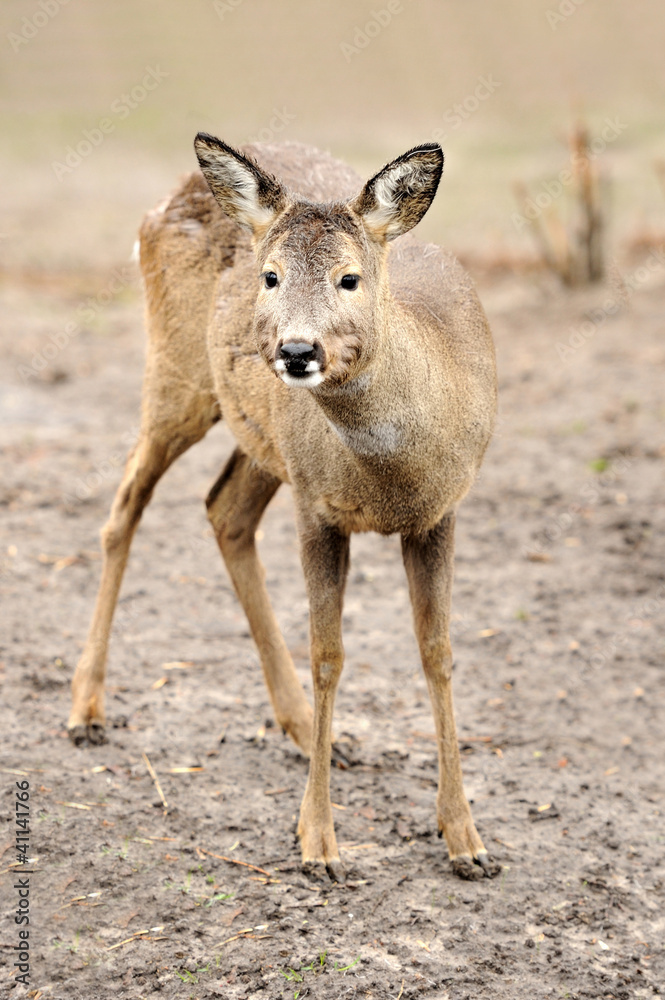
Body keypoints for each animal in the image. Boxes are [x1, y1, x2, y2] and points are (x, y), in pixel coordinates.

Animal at [68, 135, 498, 884]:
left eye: (349, 278)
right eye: (269, 276)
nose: (296, 351)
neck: (392, 476)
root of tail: (167, 199)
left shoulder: (440, 511)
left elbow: (437, 652)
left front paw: (466, 840)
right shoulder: (319, 508)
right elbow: (329, 654)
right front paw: (319, 842)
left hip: (261, 436)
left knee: (223, 511)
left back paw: (302, 728)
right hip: (178, 375)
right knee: (124, 506)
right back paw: (86, 710)